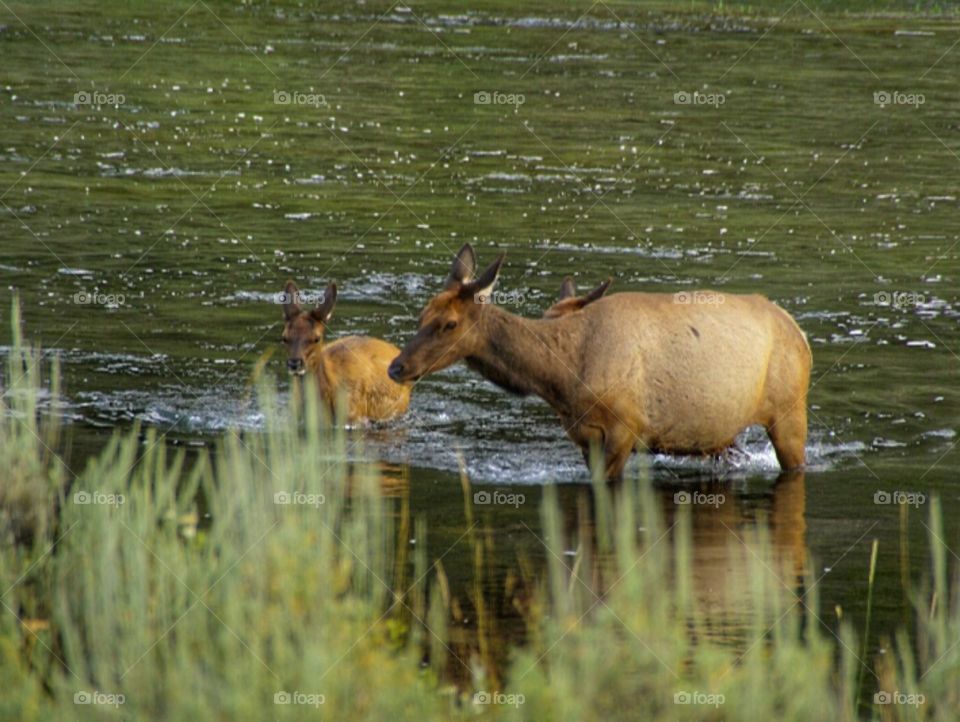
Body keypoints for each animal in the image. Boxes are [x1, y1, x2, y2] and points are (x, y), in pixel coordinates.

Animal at [387, 245, 811, 480]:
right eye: (421, 315)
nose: (396, 367)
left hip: (789, 411)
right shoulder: (584, 436)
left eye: (449, 323)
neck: (564, 378)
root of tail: (800, 334)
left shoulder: (625, 427)